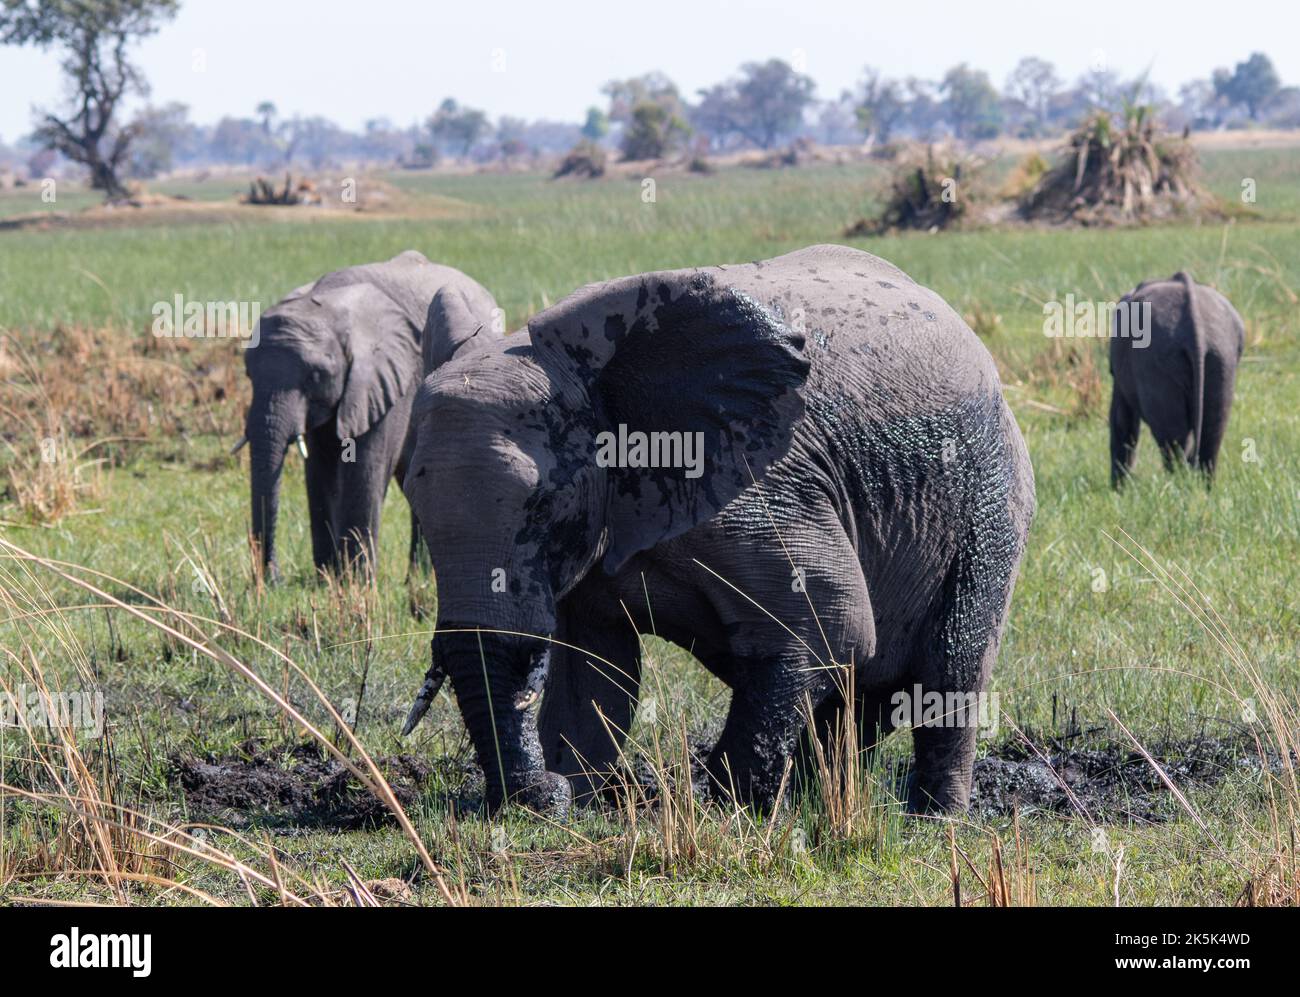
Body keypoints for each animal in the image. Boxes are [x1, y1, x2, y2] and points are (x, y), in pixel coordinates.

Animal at [236, 249, 499, 582]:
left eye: (316, 375)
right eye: (248, 373)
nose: (273, 581)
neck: (326, 304)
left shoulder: (387, 381)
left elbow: (365, 464)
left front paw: (356, 582)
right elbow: (319, 467)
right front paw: (327, 579)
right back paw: (419, 578)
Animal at [403, 245, 1034, 816]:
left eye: (545, 506)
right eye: (413, 503)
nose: (537, 796)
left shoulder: (765, 489)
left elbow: (834, 622)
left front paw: (733, 812)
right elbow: (597, 666)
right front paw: (573, 802)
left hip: (990, 496)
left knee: (948, 670)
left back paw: (933, 819)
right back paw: (823, 806)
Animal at [1112, 269, 1242, 488]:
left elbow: (1122, 419)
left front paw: (1118, 491)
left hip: (1156, 363)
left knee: (1173, 439)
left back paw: (1178, 487)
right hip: (1222, 356)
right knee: (1212, 432)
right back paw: (1202, 488)